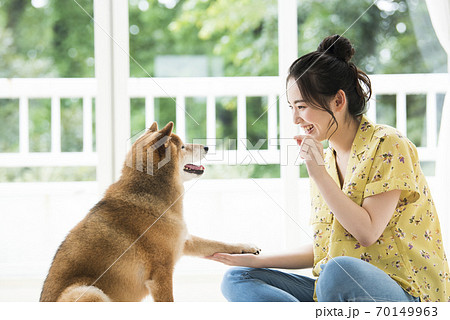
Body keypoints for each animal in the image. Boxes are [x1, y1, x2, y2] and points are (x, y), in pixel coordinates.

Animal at [42, 121, 262, 302]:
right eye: (183, 146)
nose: (207, 147)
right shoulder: (161, 274)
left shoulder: (184, 241)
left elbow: (218, 243)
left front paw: (246, 247)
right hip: (88, 291)